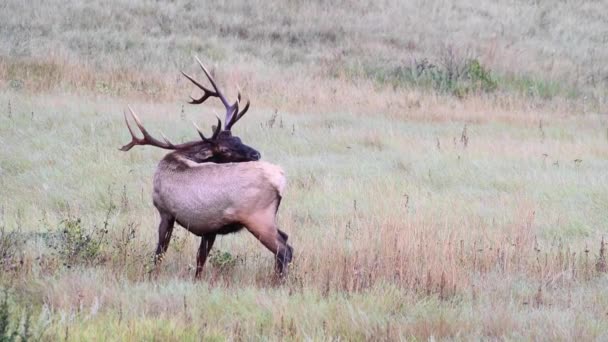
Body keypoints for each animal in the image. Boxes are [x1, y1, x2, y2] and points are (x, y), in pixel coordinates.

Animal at [120, 58, 292, 278]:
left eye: (238, 139)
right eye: (230, 144)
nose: (256, 154)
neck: (172, 161)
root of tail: (280, 179)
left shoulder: (165, 212)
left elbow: (160, 252)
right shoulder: (210, 228)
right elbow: (200, 259)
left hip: (258, 217)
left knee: (284, 250)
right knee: (285, 239)